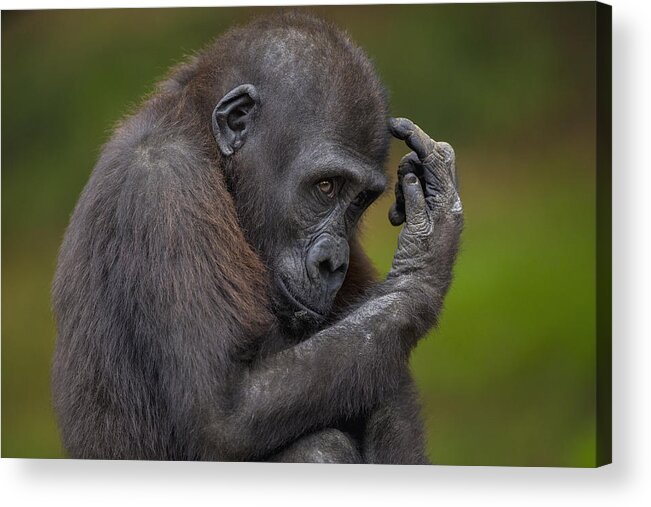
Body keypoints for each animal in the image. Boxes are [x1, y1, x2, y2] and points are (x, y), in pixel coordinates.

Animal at [51, 11, 464, 464]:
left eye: (359, 201)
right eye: (326, 187)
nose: (333, 261)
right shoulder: (164, 186)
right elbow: (224, 414)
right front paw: (423, 263)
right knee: (318, 446)